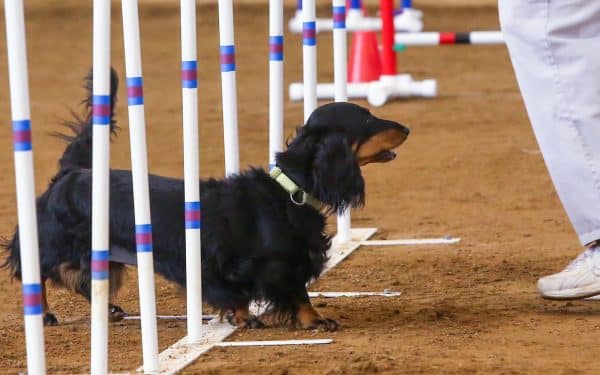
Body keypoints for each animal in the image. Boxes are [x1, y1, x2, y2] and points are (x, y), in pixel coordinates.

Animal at [1, 71, 408, 332]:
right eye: (367, 119)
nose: (406, 127)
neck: (287, 191)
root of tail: (71, 172)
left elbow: (242, 295)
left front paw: (243, 317)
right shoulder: (278, 263)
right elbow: (298, 293)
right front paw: (315, 321)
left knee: (83, 279)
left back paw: (110, 309)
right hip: (54, 242)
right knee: (34, 270)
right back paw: (45, 314)